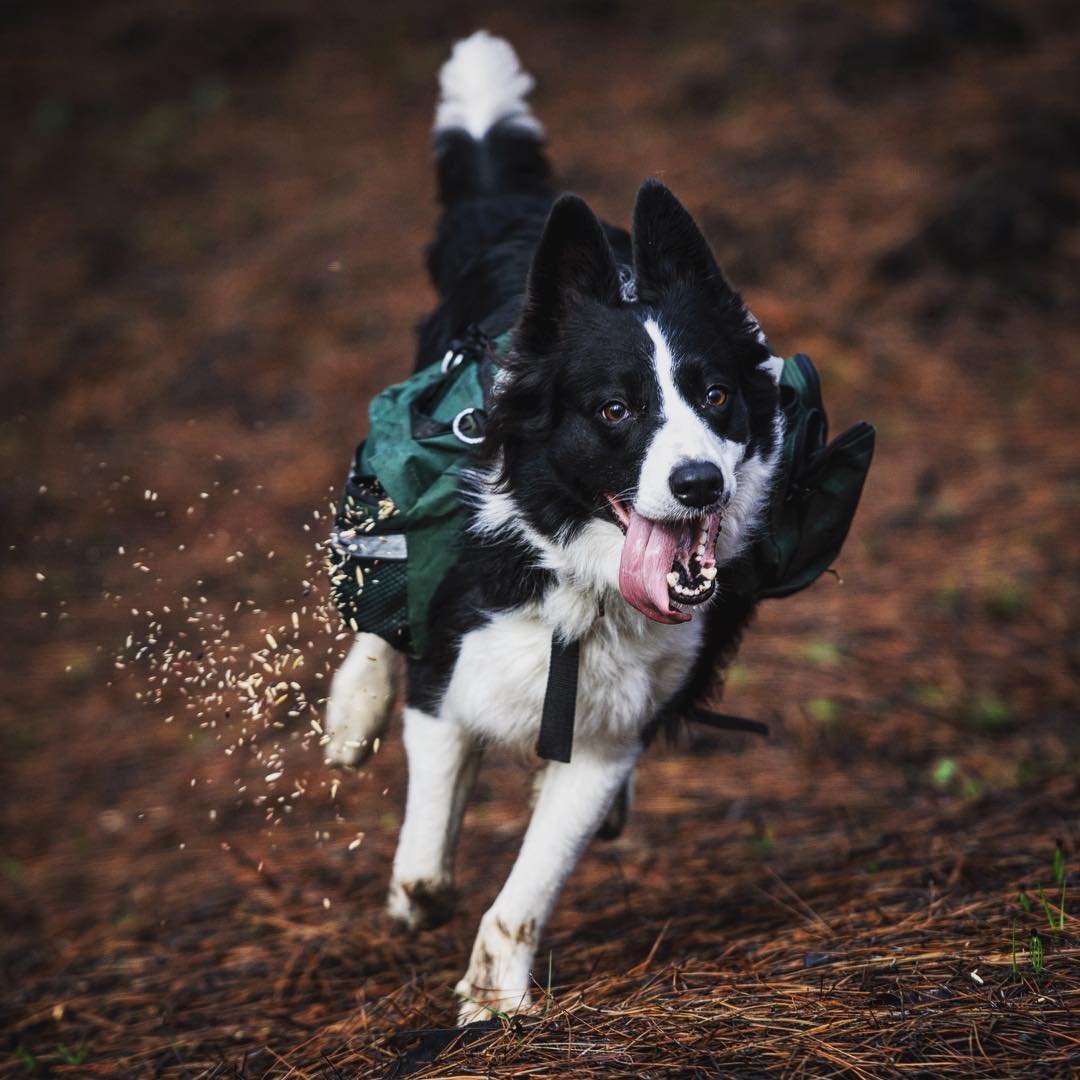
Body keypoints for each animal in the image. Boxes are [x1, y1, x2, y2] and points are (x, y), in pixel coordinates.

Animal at [321, 31, 786, 1019]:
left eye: (716, 395)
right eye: (615, 410)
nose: (698, 484)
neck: (581, 576)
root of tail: (523, 218)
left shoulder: (606, 738)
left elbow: (527, 884)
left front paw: (493, 999)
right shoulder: (449, 677)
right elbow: (426, 859)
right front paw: (420, 901)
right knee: (382, 578)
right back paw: (352, 710)